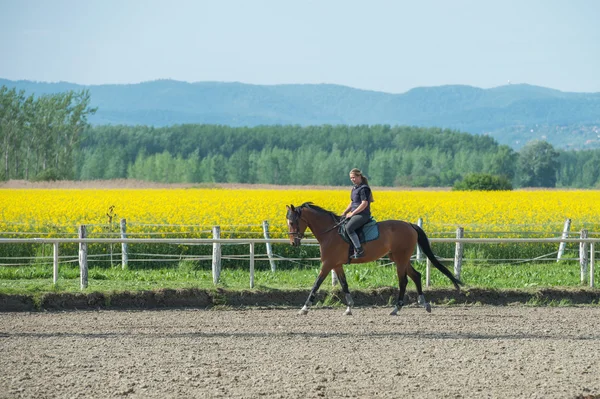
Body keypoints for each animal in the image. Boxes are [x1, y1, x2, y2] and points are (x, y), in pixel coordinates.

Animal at [286, 203, 464, 316]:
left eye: (293, 221)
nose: (293, 242)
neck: (330, 232)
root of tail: (409, 224)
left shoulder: (327, 264)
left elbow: (316, 284)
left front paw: (304, 308)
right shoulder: (336, 265)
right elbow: (344, 285)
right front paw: (349, 308)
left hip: (401, 258)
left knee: (404, 281)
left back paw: (396, 309)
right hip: (399, 257)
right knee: (416, 275)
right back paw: (424, 304)